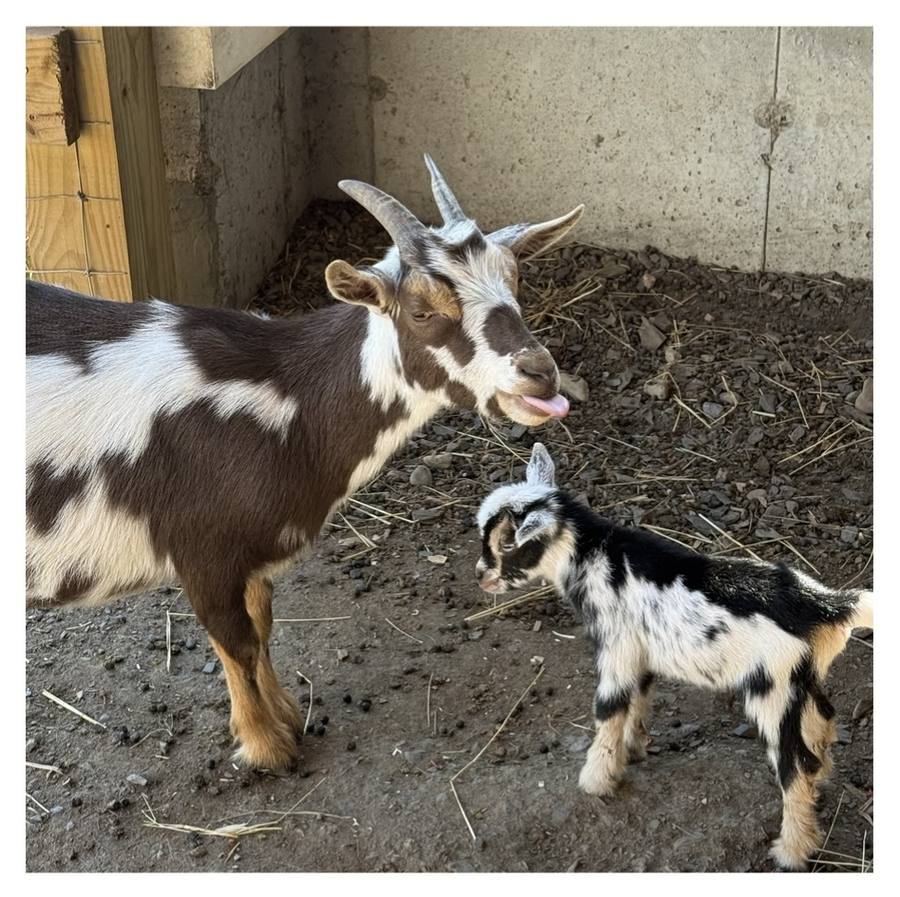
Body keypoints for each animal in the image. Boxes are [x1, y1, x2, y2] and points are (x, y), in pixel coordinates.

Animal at [26, 156, 583, 771]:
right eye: (420, 310)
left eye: (515, 281)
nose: (540, 375)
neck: (286, 397)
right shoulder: (203, 551)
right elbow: (237, 642)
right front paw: (266, 746)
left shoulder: (254, 556)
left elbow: (263, 625)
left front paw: (287, 715)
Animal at [475, 443, 873, 871]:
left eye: (508, 543)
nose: (480, 575)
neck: (593, 555)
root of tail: (824, 605)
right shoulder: (641, 652)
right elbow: (639, 698)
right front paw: (631, 751)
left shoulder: (616, 648)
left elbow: (609, 708)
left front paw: (596, 781)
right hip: (803, 678)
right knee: (823, 721)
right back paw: (821, 786)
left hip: (773, 689)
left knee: (795, 764)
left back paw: (792, 851)